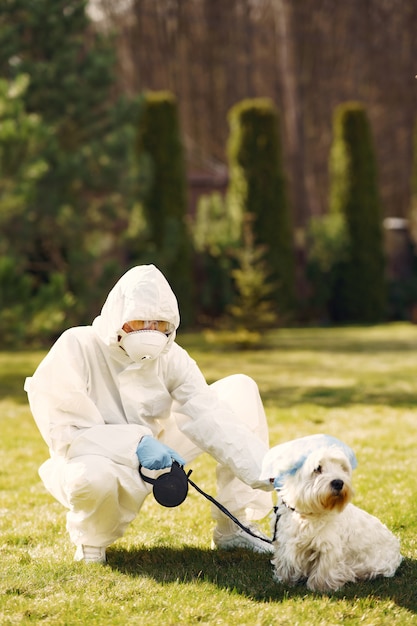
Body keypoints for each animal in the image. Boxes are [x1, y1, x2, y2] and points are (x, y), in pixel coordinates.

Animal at [260, 434, 400, 588]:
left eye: (342, 468)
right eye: (318, 468)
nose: (339, 483)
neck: (307, 513)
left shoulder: (327, 546)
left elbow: (323, 570)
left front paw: (319, 587)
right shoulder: (284, 543)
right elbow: (285, 564)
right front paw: (285, 580)